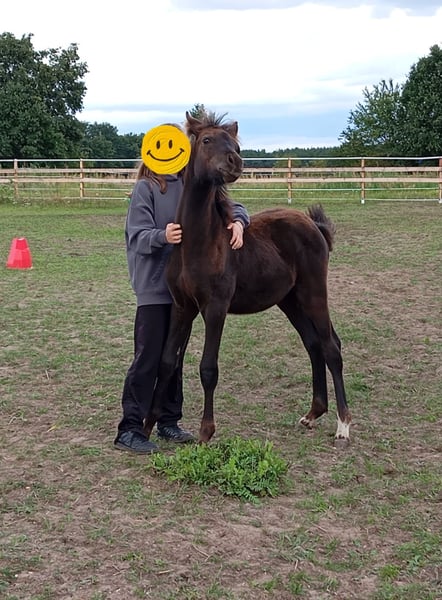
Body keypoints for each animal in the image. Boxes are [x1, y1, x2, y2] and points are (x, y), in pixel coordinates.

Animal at [145, 111, 351, 447]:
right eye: (206, 140)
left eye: (235, 143)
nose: (235, 162)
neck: (199, 243)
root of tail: (314, 225)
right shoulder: (182, 306)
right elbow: (166, 362)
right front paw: (146, 427)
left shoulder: (215, 309)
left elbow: (208, 368)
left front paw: (206, 432)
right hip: (290, 300)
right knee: (313, 344)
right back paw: (312, 414)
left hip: (313, 293)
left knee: (331, 346)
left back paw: (343, 426)